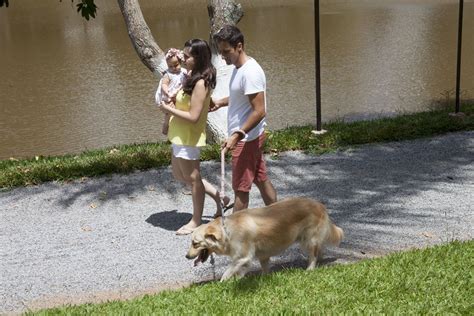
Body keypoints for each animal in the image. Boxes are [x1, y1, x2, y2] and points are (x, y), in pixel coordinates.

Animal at [185, 198, 344, 282]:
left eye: (195, 243)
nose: (187, 256)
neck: (226, 231)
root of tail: (320, 205)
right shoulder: (260, 256)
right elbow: (259, 269)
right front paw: (263, 279)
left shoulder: (243, 256)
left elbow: (228, 271)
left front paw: (222, 282)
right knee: (319, 249)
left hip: (308, 239)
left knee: (314, 254)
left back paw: (310, 268)